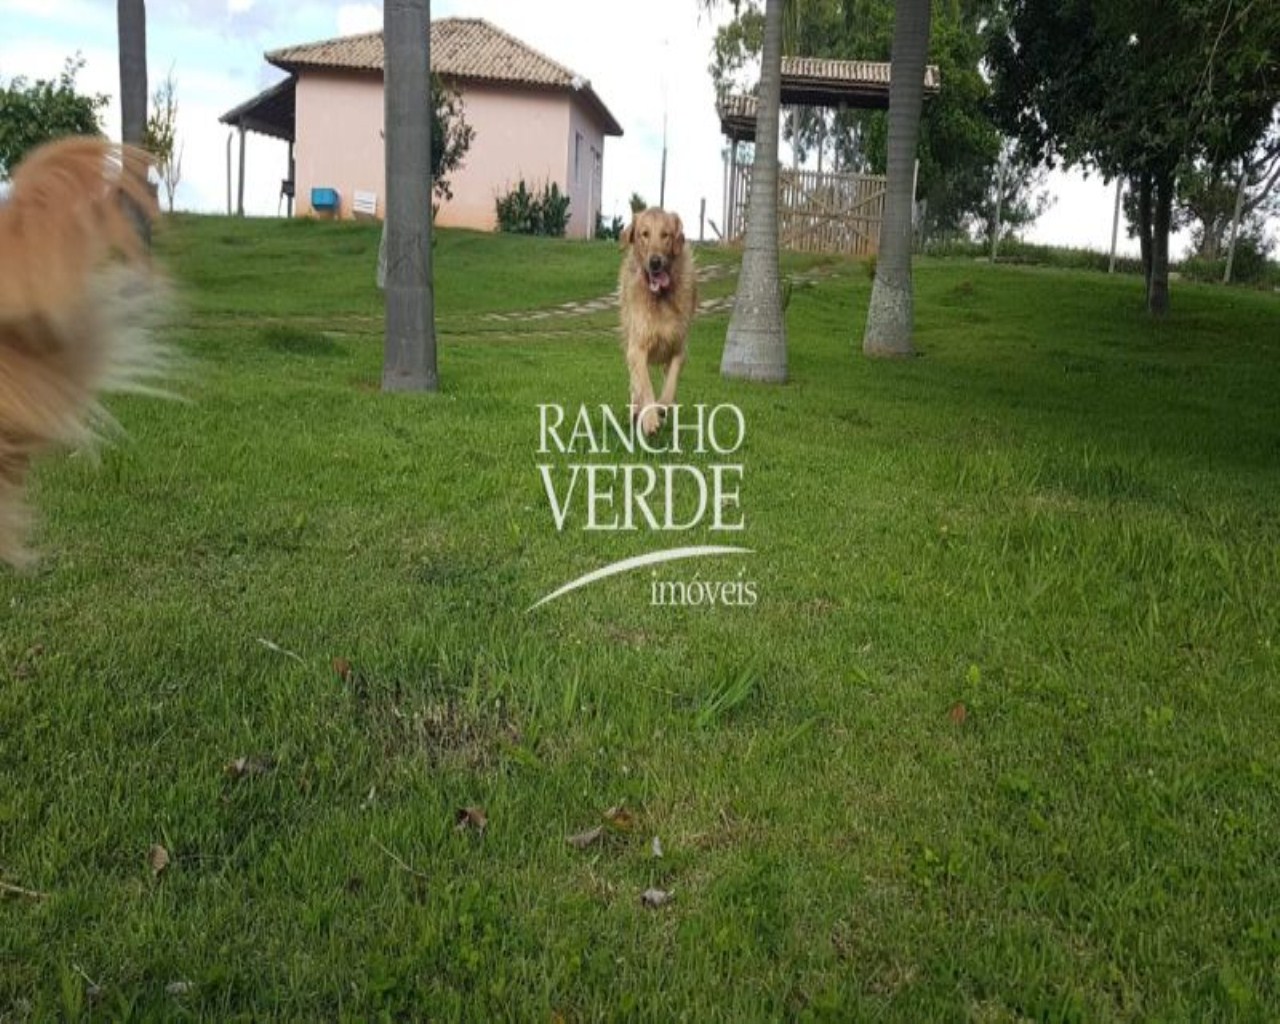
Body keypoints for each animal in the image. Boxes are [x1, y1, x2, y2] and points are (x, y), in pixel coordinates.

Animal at [616, 206, 696, 435]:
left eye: (665, 235)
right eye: (644, 234)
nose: (655, 262)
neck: (660, 296)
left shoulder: (679, 348)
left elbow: (670, 385)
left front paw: (662, 407)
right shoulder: (637, 347)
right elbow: (644, 385)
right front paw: (650, 419)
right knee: (635, 383)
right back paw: (637, 410)